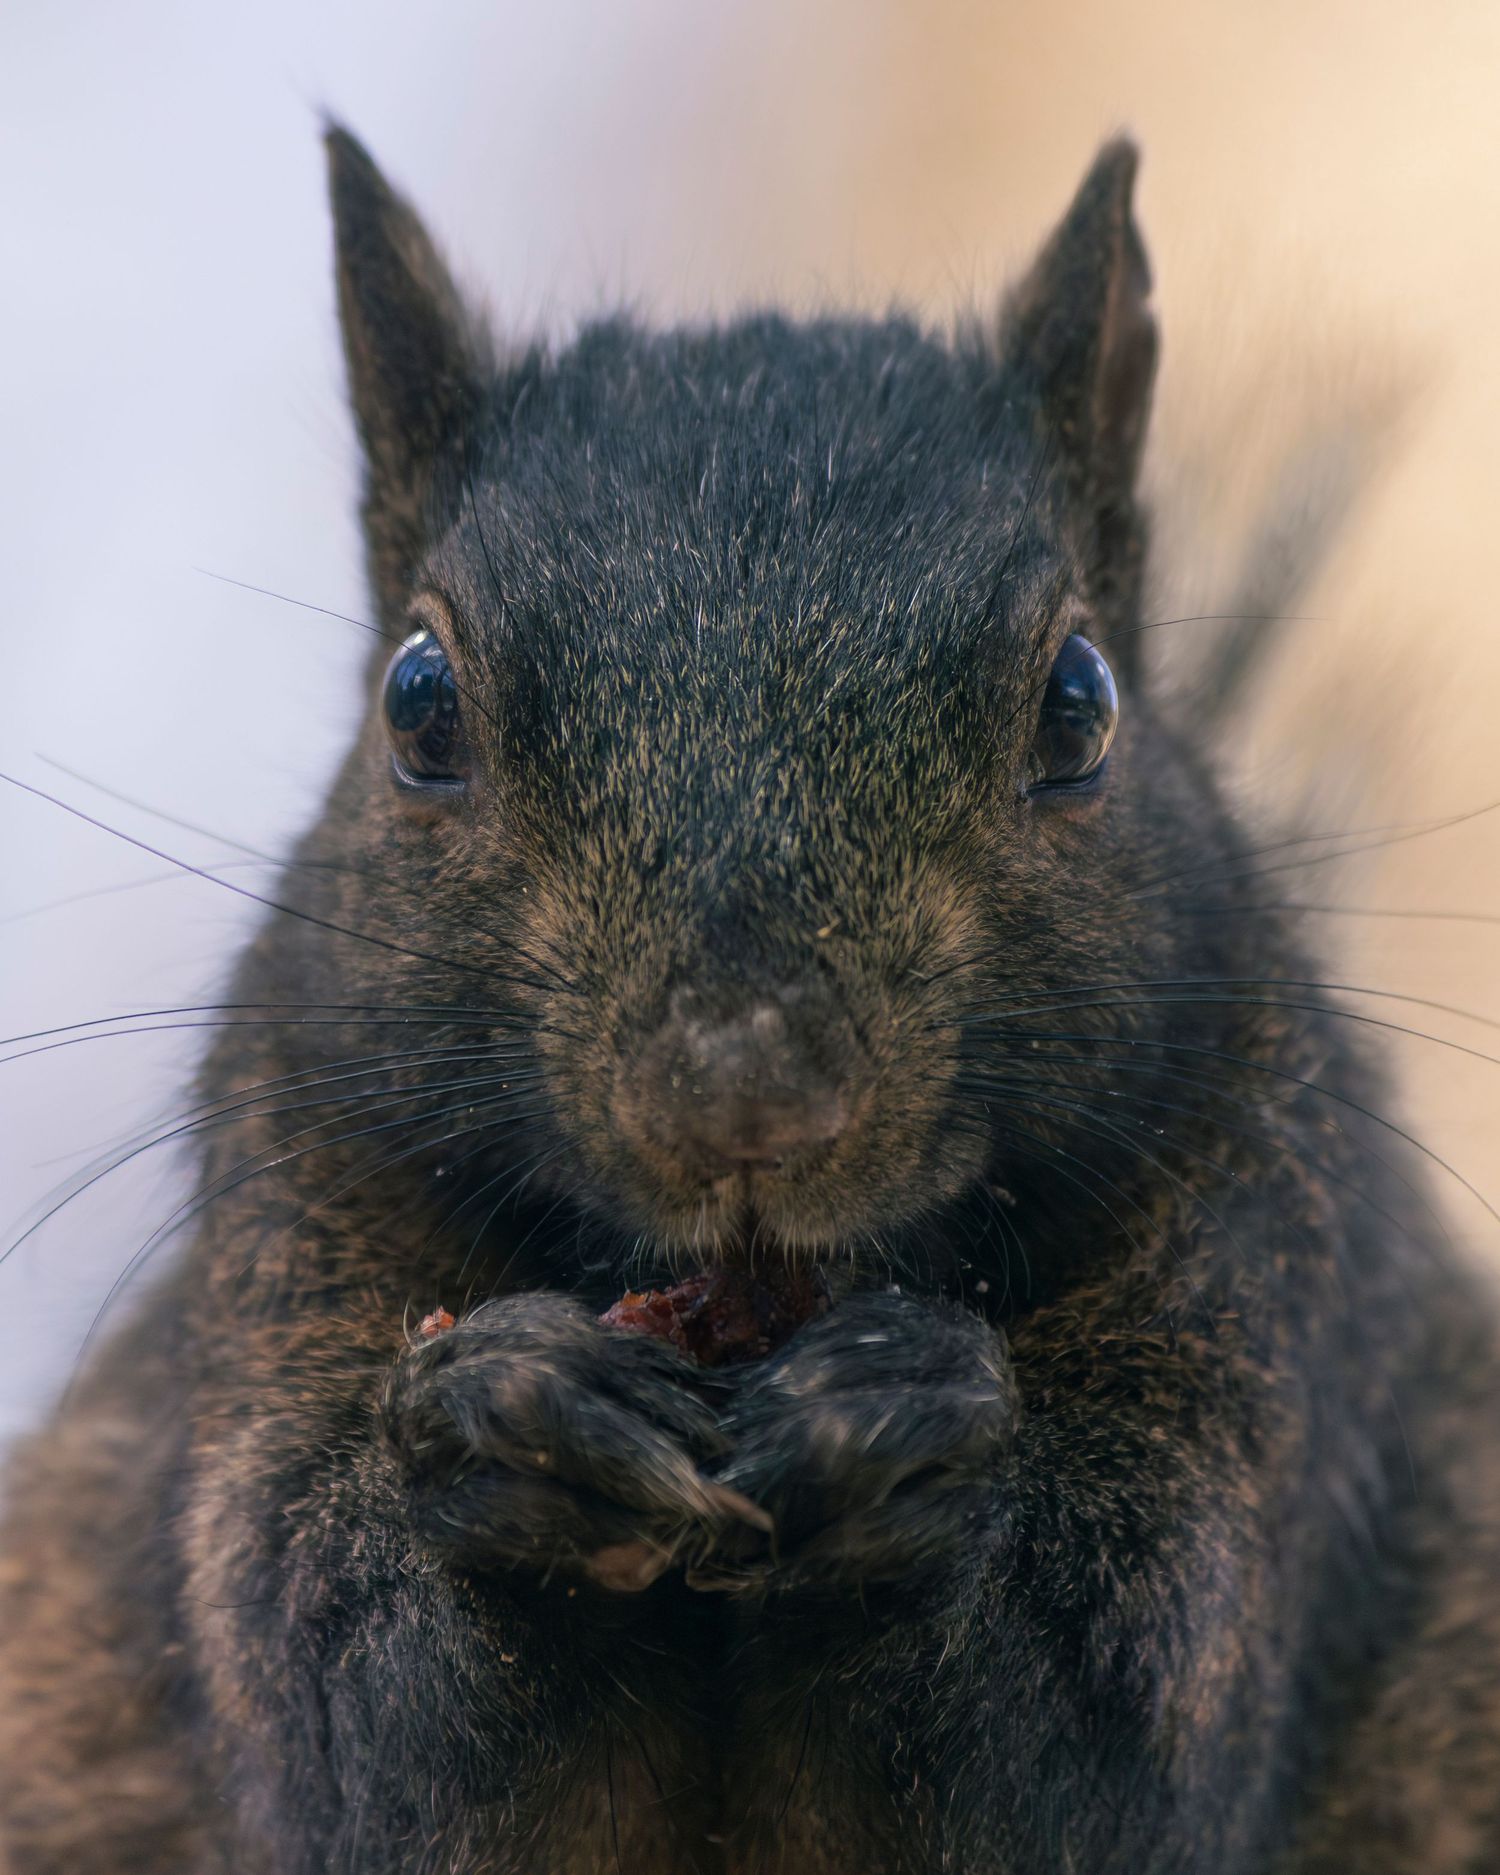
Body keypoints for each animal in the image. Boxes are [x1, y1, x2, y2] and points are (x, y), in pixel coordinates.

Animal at [1, 125, 1498, 1875]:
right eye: (418, 703)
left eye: (1081, 702)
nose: (743, 1090)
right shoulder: (283, 1217)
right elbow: (351, 1718)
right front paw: (505, 1412)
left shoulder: (1272, 1253)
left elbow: (1105, 1732)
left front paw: (904, 1423)